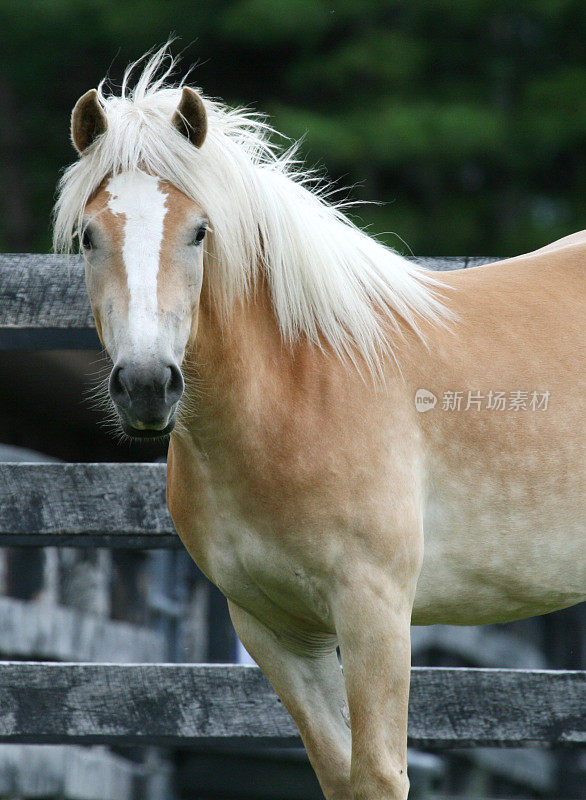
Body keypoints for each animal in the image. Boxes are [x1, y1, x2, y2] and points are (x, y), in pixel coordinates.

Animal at [52, 48, 580, 800]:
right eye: (91, 236)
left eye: (199, 231)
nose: (148, 385)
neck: (297, 394)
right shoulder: (274, 630)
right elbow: (340, 773)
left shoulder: (374, 612)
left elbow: (379, 773)